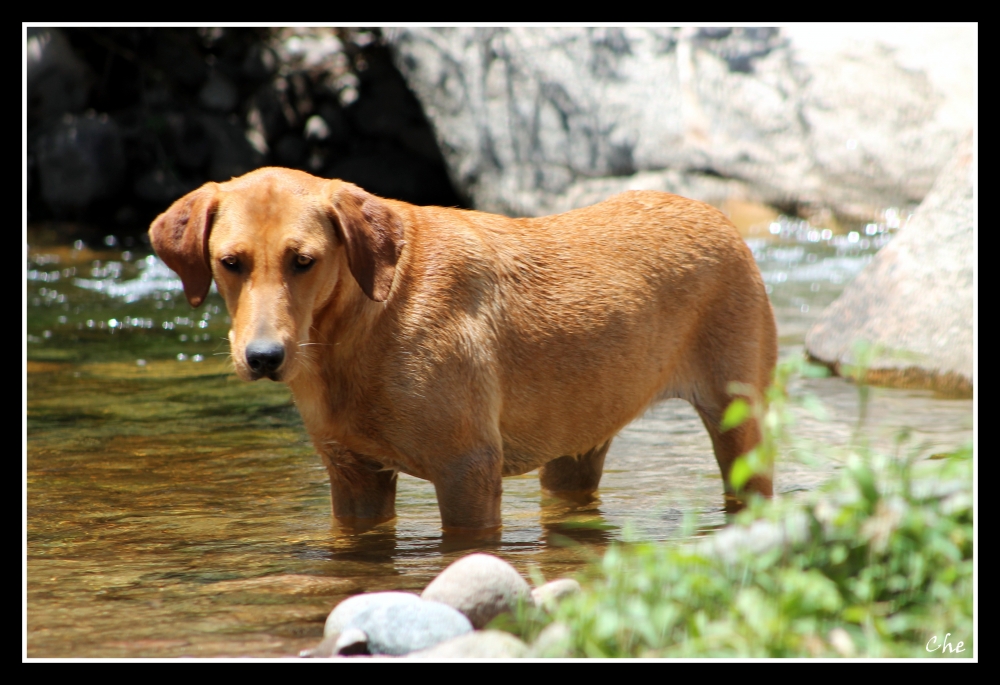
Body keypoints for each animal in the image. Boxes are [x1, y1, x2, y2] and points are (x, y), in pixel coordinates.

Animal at [148, 168, 776, 532]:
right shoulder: (353, 476)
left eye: (304, 261)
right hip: (576, 444)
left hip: (739, 423)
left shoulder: (467, 469)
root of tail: (718, 215)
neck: (356, 335)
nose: (263, 357)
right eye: (231, 262)